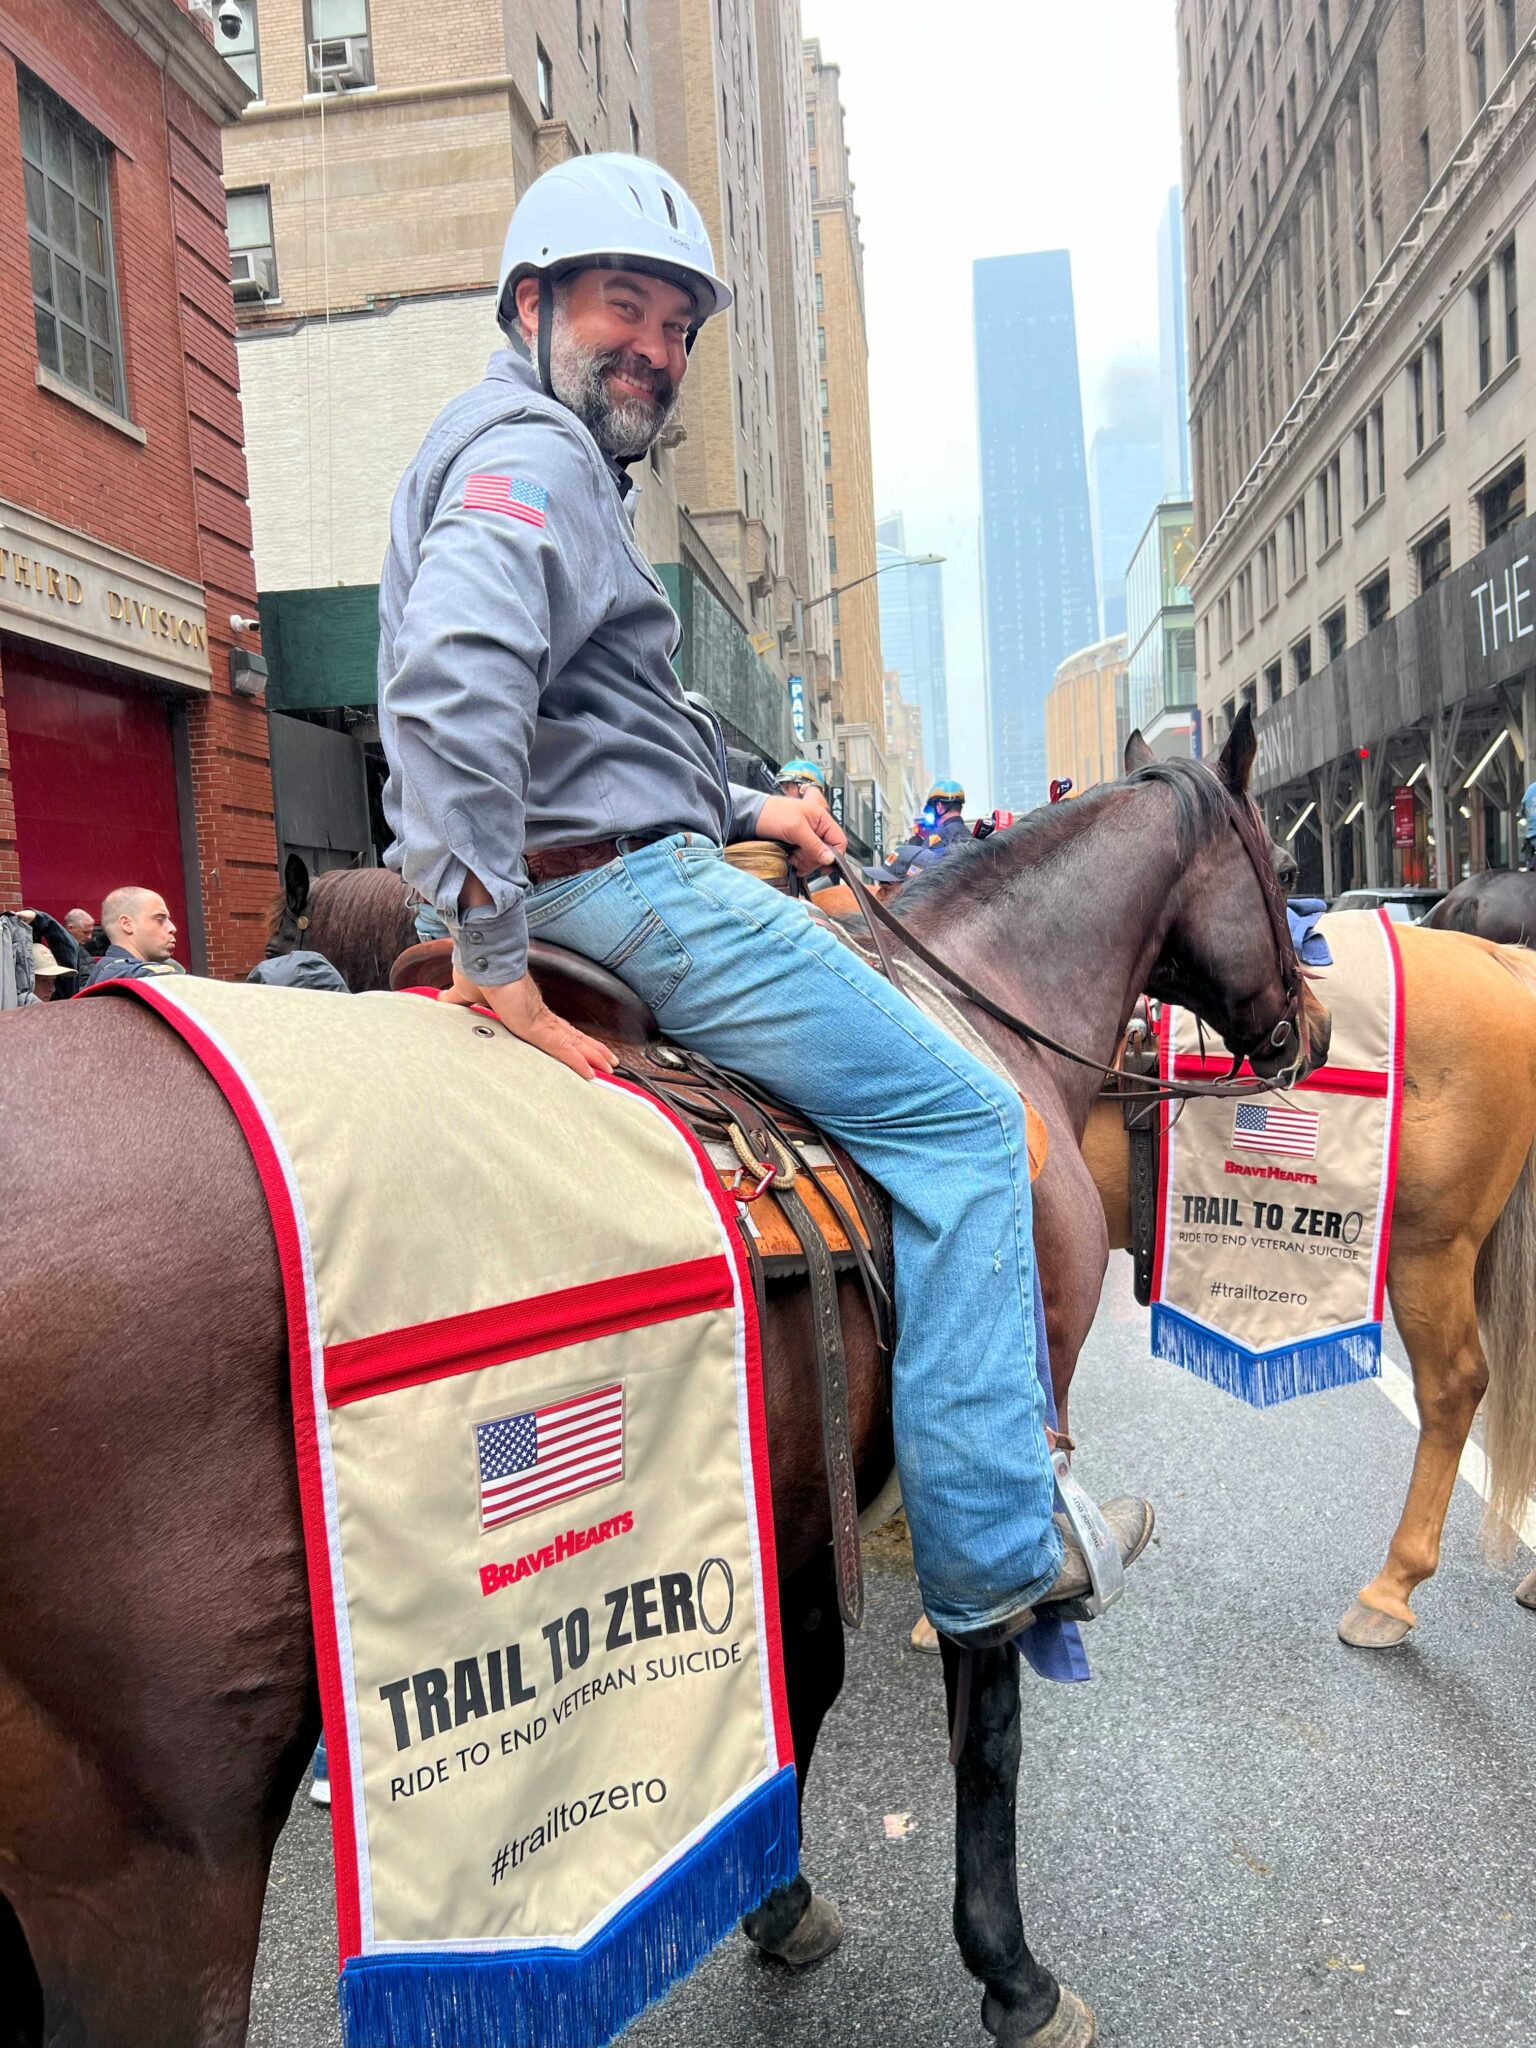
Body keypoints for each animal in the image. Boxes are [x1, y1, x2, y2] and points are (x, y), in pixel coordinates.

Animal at [0, 712, 1327, 2039]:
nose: (1307, 1028)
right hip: (166, 1860)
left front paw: (780, 1899)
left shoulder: (797, 1476)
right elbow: (984, 1699)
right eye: (1275, 864)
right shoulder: (1002, 1411)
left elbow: (806, 1678)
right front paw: (1011, 1970)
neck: (984, 1018)